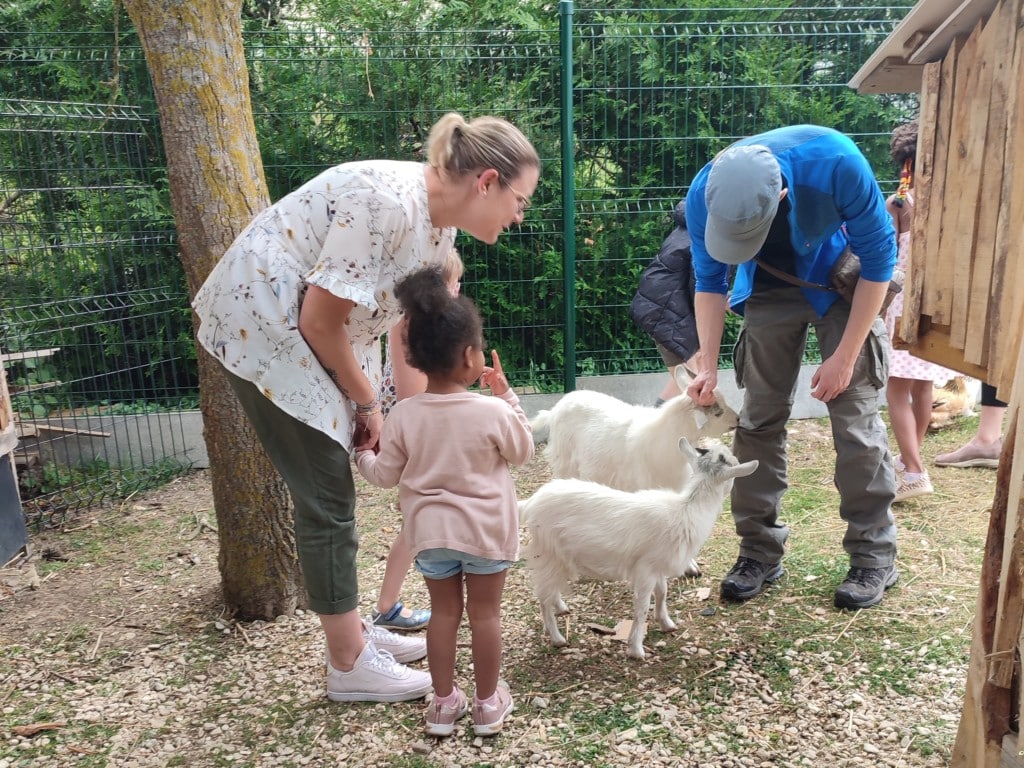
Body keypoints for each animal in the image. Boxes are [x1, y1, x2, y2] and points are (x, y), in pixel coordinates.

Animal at [524, 438, 757, 663]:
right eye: (732, 462)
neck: (688, 508)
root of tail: (529, 503)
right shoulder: (645, 569)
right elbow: (642, 606)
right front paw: (636, 649)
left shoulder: (658, 565)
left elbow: (662, 592)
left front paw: (666, 623)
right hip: (548, 553)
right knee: (542, 597)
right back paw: (556, 637)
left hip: (557, 558)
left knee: (549, 589)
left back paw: (560, 608)